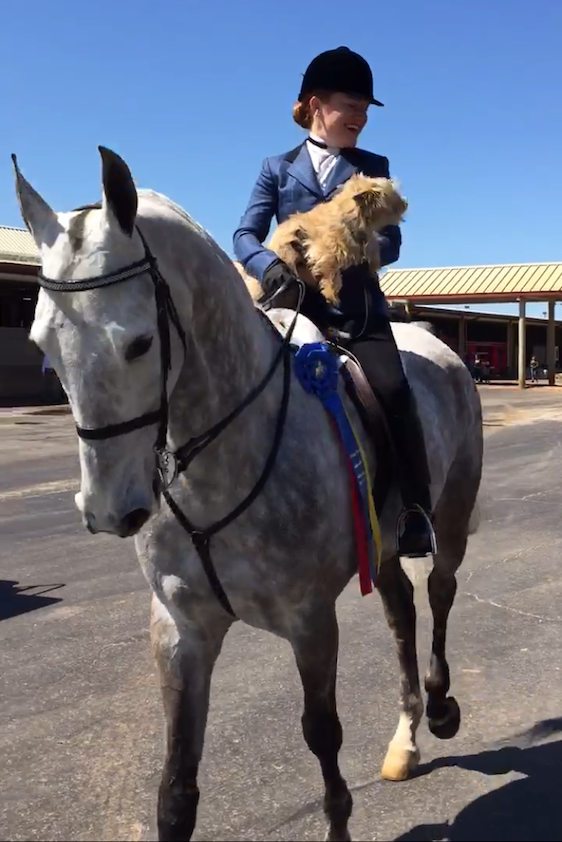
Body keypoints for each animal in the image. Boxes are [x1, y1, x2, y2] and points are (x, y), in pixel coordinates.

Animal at [234, 172, 404, 304]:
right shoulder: (325, 251)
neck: (348, 215)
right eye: (394, 196)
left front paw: (373, 265)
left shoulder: (364, 239)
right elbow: (332, 274)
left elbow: (372, 247)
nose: (405, 203)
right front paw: (331, 294)